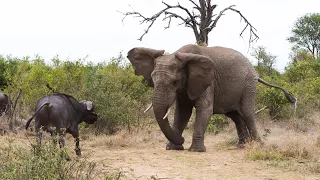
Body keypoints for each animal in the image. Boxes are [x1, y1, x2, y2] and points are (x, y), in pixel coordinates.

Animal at [127, 44, 296, 152]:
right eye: (152, 80)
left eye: (174, 82)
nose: (182, 140)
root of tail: (256, 73)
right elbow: (182, 113)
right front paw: (173, 148)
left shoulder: (208, 80)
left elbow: (204, 109)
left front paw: (195, 151)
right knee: (236, 116)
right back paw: (242, 146)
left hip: (249, 85)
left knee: (247, 113)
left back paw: (258, 146)